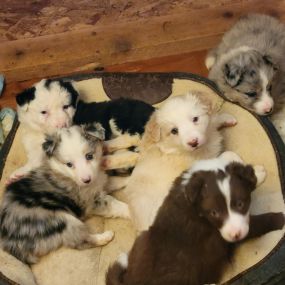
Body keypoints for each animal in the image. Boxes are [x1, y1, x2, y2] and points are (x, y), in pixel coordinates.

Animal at [0, 124, 129, 264]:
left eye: (89, 156)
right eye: (69, 164)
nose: (86, 180)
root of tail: (10, 242)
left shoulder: (101, 181)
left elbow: (115, 181)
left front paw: (131, 179)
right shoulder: (91, 201)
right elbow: (116, 205)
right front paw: (131, 211)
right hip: (62, 220)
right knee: (79, 242)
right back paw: (105, 237)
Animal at [106, 152, 284, 284]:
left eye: (240, 204)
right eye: (214, 213)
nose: (236, 235)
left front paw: (257, 172)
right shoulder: (219, 234)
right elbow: (258, 222)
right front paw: (280, 218)